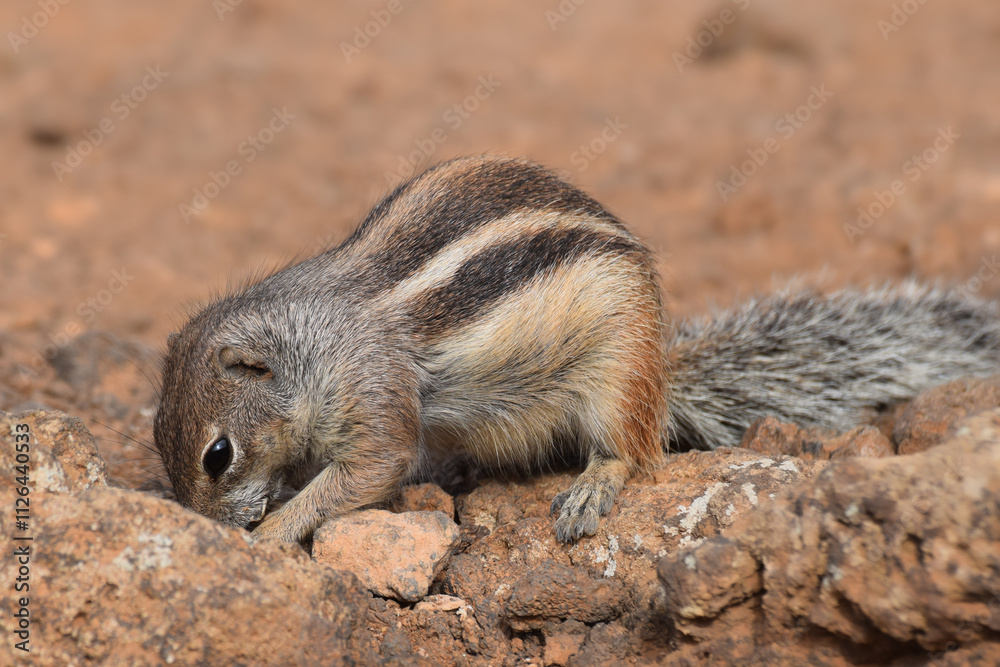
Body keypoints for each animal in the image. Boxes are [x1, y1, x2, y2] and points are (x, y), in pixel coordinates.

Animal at [153, 155, 1000, 544]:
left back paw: (594, 483)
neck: (311, 343)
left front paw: (273, 531)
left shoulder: (375, 393)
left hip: (616, 372)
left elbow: (367, 470)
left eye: (218, 455)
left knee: (632, 450)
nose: (211, 526)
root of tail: (662, 373)